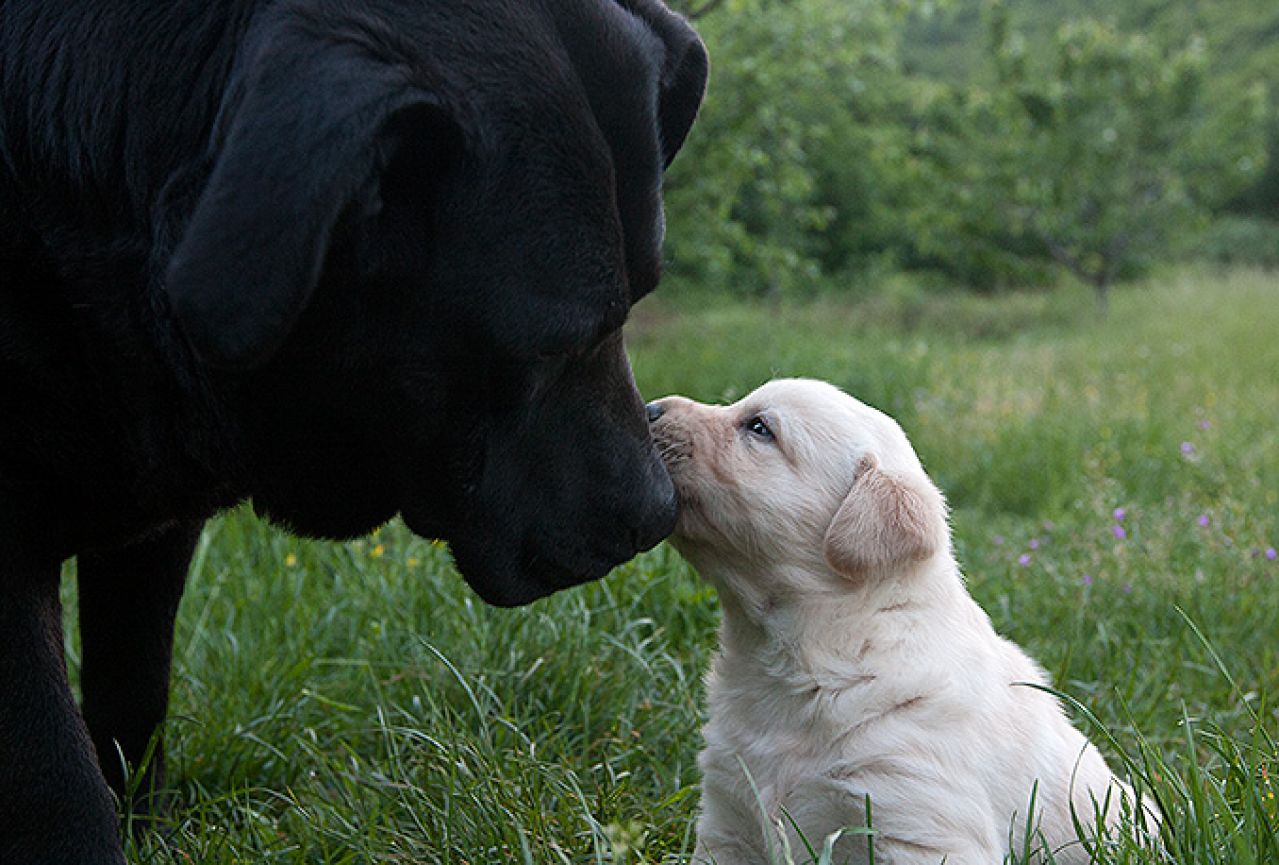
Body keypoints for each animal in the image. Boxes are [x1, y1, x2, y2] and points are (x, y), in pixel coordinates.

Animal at [0, 1, 706, 859]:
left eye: (640, 295)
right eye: (548, 346)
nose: (657, 513)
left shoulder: (155, 522)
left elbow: (134, 692)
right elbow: (54, 774)